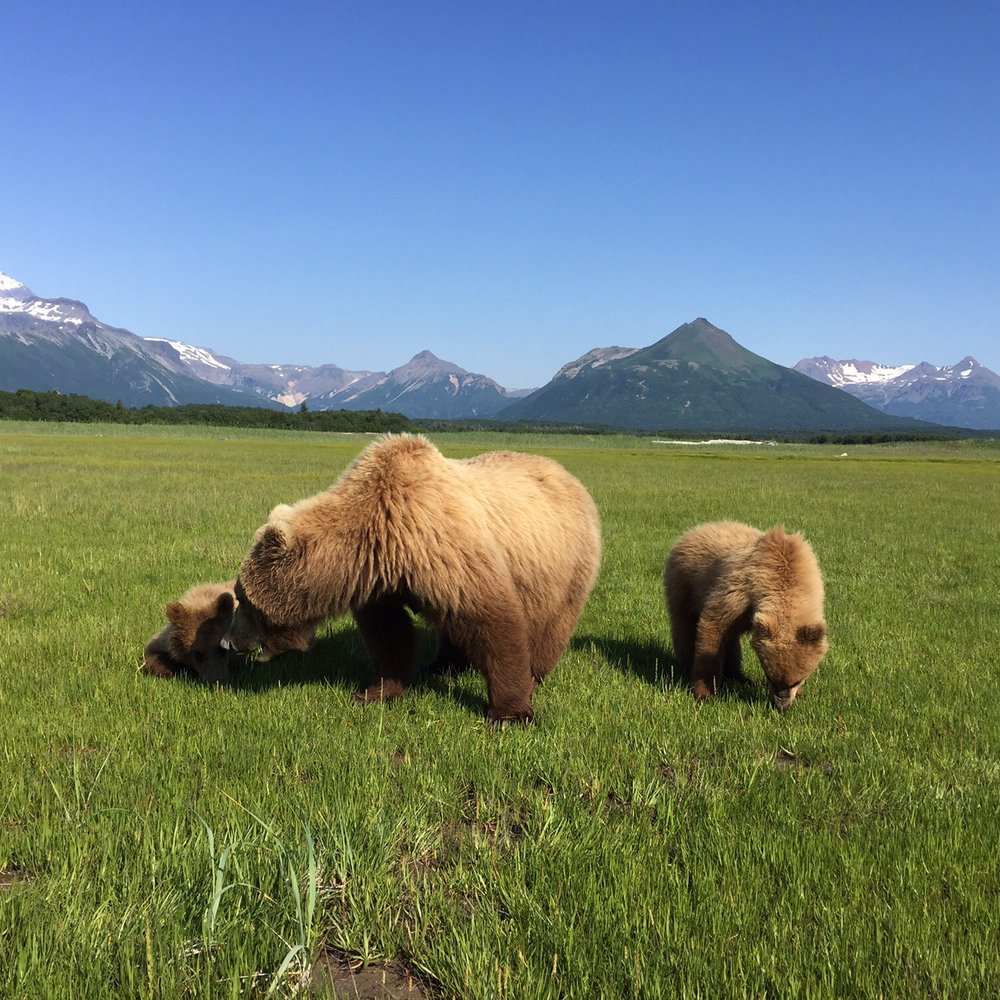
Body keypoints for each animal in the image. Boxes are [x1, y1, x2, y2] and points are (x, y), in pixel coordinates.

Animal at [224, 434, 602, 723]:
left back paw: (534, 673)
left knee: (551, 622)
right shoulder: (381, 577)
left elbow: (493, 620)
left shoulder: (444, 547)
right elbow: (389, 634)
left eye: (245, 600)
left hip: (565, 564)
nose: (230, 641)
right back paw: (443, 666)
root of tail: (567, 474)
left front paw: (510, 713)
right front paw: (376, 692)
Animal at [663, 521, 828, 710]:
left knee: (731, 639)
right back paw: (686, 668)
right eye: (770, 677)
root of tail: (694, 530)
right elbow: (713, 628)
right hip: (684, 585)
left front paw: (800, 693)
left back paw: (739, 676)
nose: (781, 705)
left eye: (796, 680)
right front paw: (705, 693)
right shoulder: (737, 591)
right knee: (684, 626)